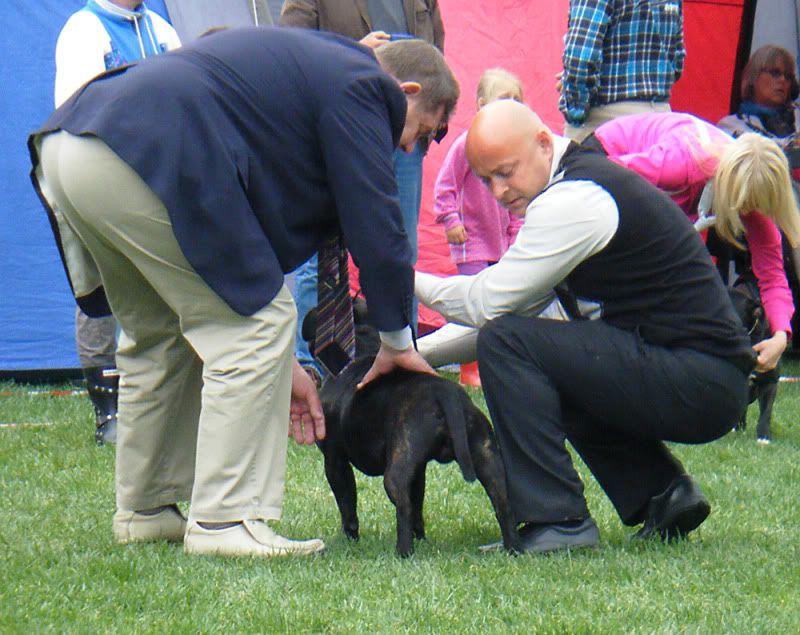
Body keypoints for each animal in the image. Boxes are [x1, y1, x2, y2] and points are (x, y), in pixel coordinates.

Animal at [300, 304, 520, 556]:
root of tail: (446, 393)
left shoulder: (335, 460)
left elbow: (348, 504)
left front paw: (350, 539)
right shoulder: (418, 469)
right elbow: (418, 506)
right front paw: (421, 538)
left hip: (396, 469)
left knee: (402, 505)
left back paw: (403, 552)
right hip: (486, 454)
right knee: (502, 502)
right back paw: (513, 549)